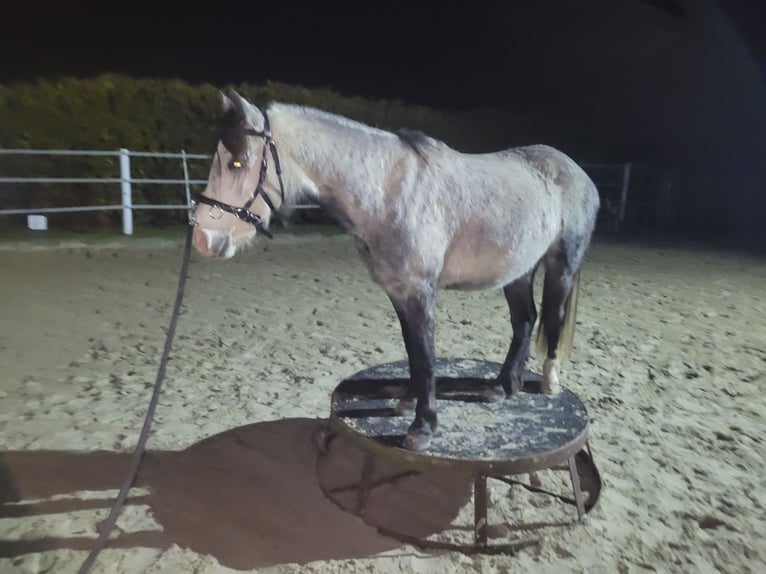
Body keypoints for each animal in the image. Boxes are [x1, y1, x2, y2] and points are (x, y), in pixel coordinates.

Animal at [192, 88, 600, 452]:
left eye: (237, 163)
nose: (203, 238)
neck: (390, 191)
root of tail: (576, 171)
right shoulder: (399, 291)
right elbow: (414, 353)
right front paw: (408, 401)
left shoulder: (420, 291)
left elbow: (427, 355)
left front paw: (424, 427)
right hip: (518, 270)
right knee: (525, 320)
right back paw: (502, 386)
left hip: (562, 265)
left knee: (552, 316)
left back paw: (549, 381)